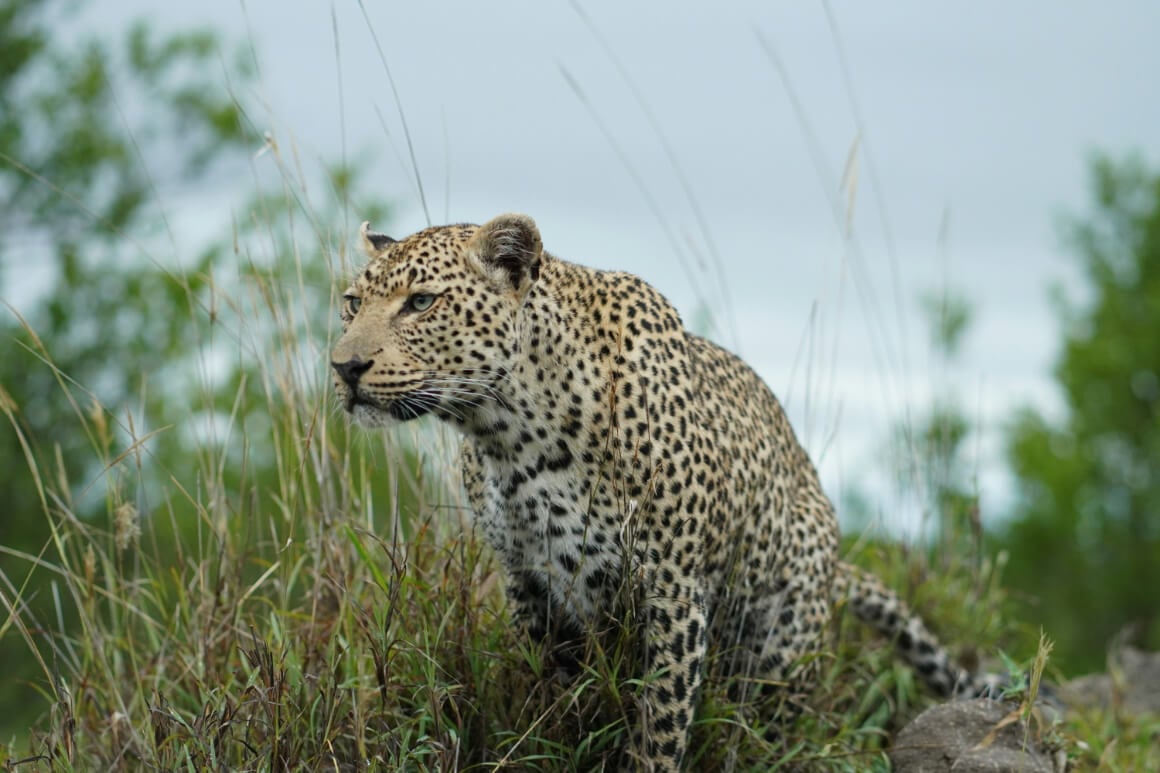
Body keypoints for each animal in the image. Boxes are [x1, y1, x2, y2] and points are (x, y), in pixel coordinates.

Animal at [331, 213, 1002, 766]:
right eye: (351, 303)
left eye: (421, 302)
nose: (344, 367)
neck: (510, 434)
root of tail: (836, 559)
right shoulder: (528, 579)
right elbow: (557, 706)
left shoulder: (672, 588)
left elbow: (661, 721)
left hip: (779, 652)